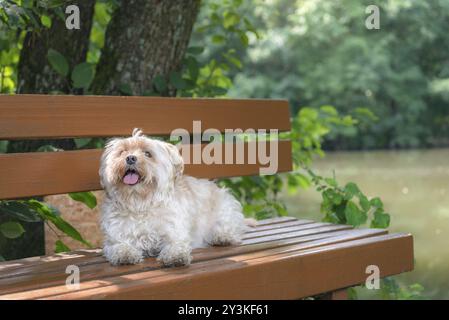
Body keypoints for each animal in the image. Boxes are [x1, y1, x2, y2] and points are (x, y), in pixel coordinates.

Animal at [99, 129, 252, 266]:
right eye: (122, 152)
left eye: (148, 153)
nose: (130, 158)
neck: (140, 203)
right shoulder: (116, 237)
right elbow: (119, 245)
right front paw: (125, 254)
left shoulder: (174, 231)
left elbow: (176, 244)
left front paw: (175, 256)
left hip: (225, 211)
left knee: (229, 227)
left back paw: (222, 237)